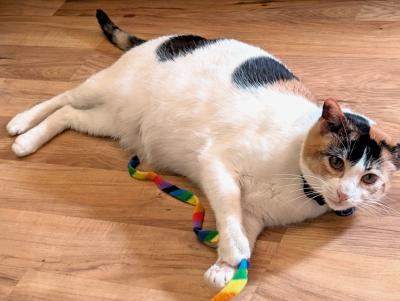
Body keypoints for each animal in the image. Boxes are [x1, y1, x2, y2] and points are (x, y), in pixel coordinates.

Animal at [7, 9, 400, 288]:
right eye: (336, 162)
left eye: (369, 179)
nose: (344, 194)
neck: (297, 182)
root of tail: (163, 38)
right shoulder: (215, 161)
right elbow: (228, 203)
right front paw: (232, 250)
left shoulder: (256, 214)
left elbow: (243, 225)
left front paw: (225, 268)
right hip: (103, 88)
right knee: (64, 97)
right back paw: (21, 126)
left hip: (110, 121)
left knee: (69, 115)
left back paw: (28, 139)